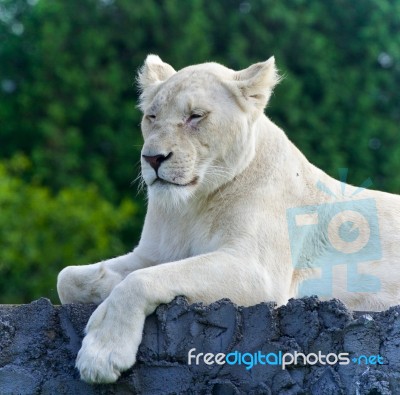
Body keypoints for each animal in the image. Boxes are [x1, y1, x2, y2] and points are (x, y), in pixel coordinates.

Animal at [55, 55, 400, 384]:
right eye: (151, 117)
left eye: (195, 116)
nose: (152, 158)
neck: (193, 205)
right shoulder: (152, 253)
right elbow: (67, 277)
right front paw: (105, 288)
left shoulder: (258, 271)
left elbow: (139, 281)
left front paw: (101, 354)